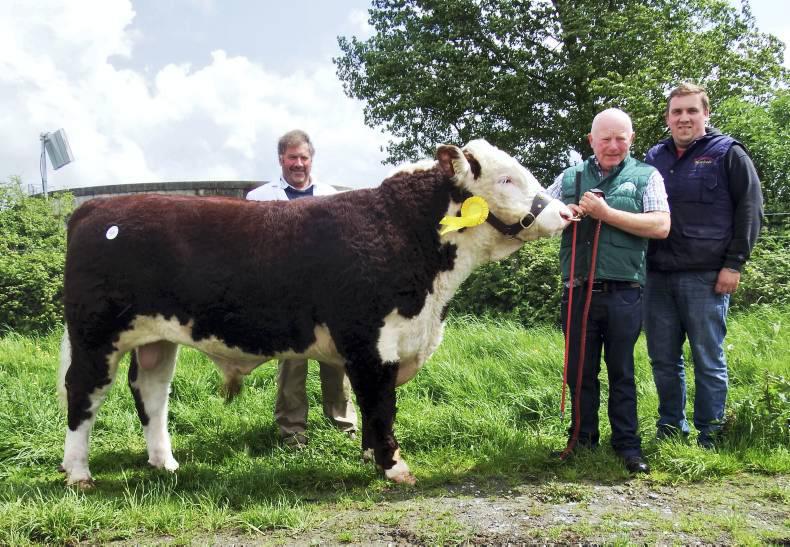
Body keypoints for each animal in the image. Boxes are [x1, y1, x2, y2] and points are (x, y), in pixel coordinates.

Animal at [58, 139, 572, 487]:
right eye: (506, 179)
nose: (567, 214)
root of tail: (95, 208)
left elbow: (372, 405)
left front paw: (370, 456)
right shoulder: (371, 340)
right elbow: (380, 403)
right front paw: (394, 466)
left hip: (156, 338)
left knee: (152, 392)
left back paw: (164, 463)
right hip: (94, 336)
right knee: (83, 395)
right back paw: (79, 473)